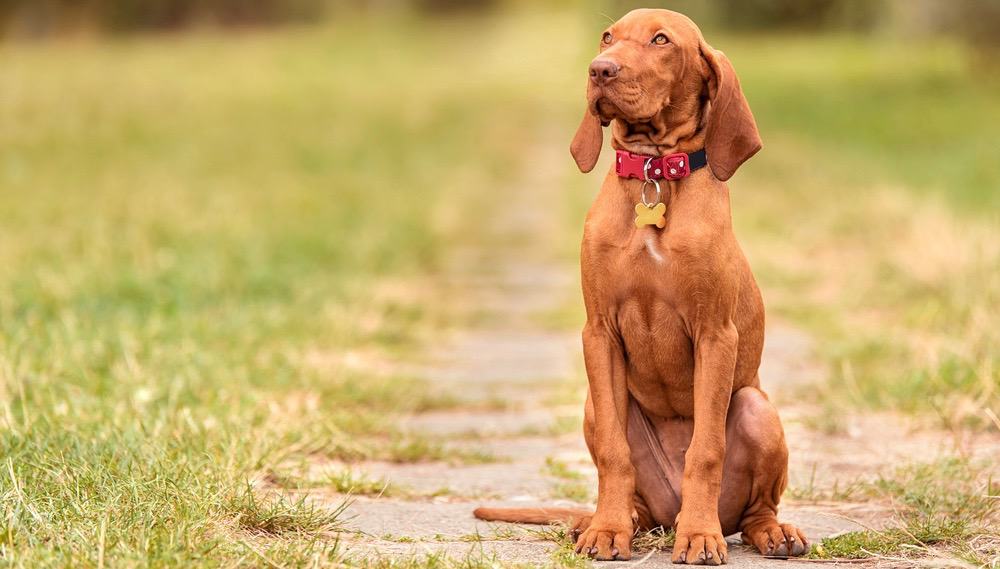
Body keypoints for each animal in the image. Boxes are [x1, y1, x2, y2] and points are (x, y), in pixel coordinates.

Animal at [472, 7, 808, 564]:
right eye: (607, 36)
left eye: (661, 41)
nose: (599, 70)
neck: (654, 171)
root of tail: (665, 518)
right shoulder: (599, 332)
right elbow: (614, 452)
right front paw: (606, 532)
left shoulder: (716, 335)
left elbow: (706, 451)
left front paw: (700, 537)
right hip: (597, 405)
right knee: (631, 490)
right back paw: (605, 522)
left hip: (756, 407)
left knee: (755, 510)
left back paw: (763, 531)